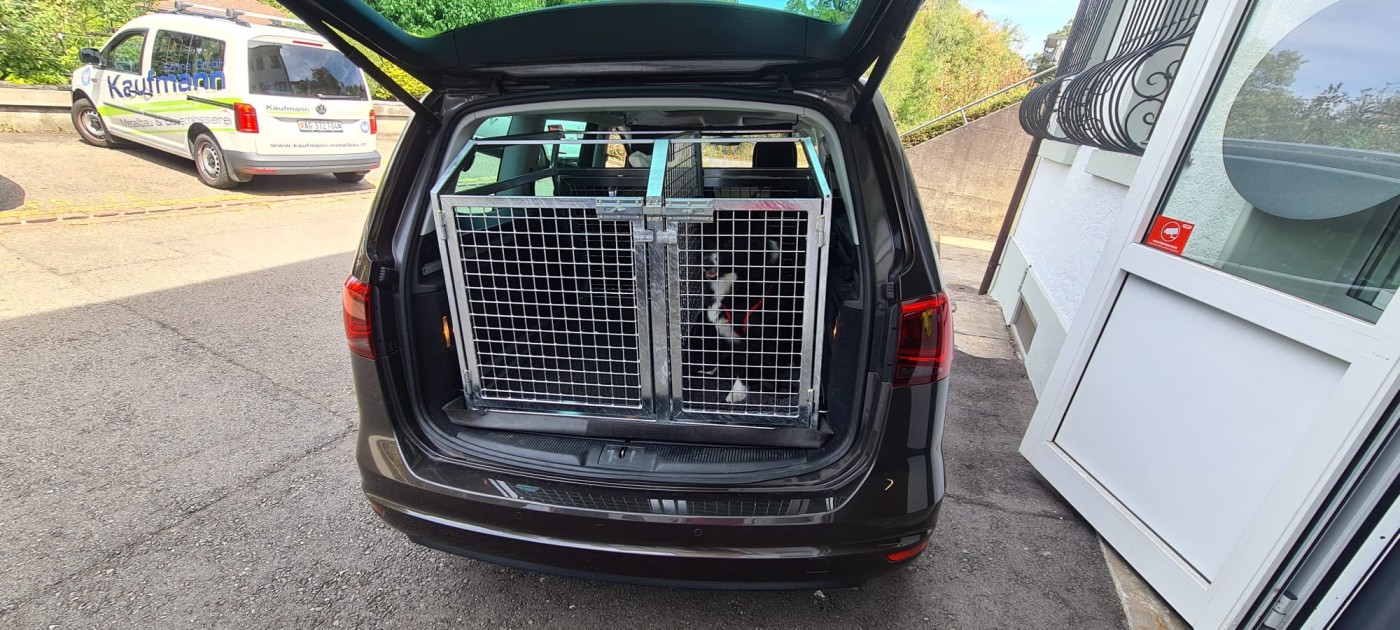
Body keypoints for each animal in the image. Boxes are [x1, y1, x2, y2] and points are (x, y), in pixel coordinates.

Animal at [687, 232, 800, 405]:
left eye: (728, 241)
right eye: (709, 240)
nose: (705, 263)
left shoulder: (758, 336)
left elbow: (747, 364)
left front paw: (737, 391)